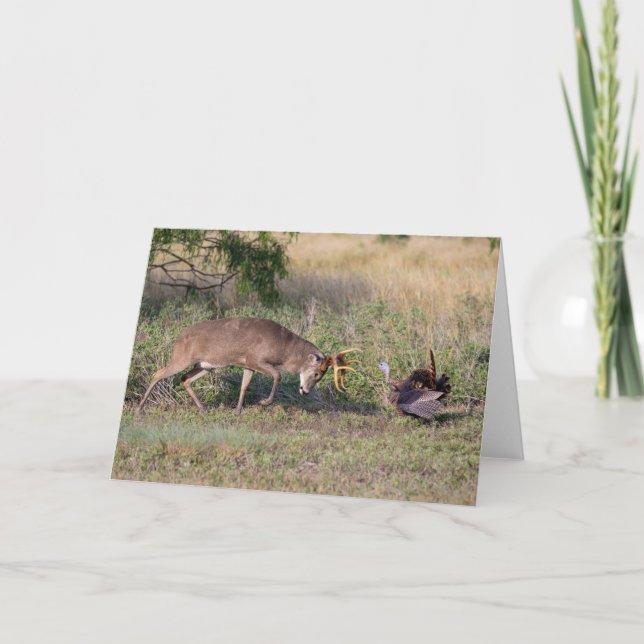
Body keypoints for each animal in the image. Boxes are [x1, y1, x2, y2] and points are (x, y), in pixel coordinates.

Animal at [136, 317, 360, 415]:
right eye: (315, 373)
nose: (304, 391)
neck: (284, 350)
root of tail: (178, 339)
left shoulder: (248, 365)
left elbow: (244, 386)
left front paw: (237, 410)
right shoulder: (255, 359)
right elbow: (278, 375)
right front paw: (264, 402)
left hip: (205, 365)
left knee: (184, 379)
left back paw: (203, 408)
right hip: (182, 358)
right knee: (159, 373)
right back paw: (139, 409)